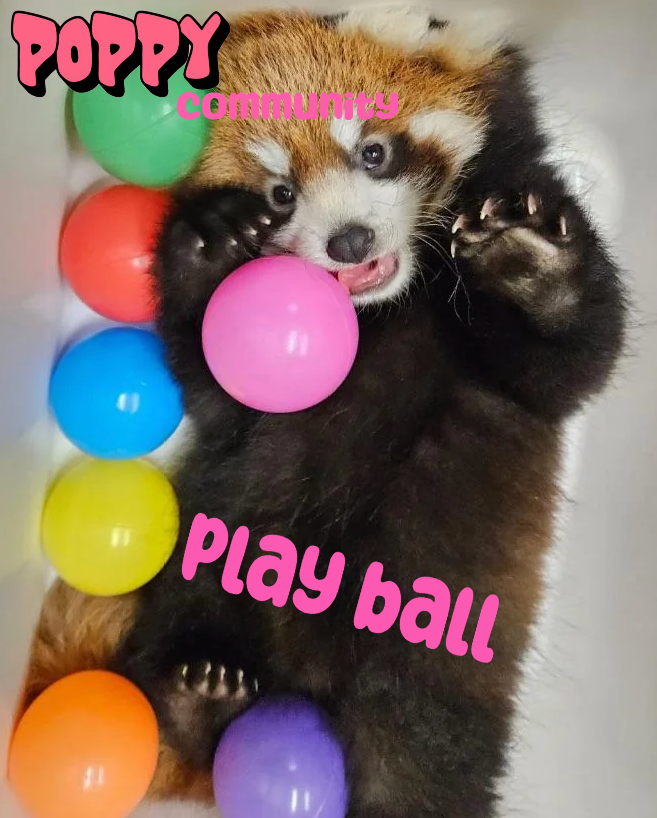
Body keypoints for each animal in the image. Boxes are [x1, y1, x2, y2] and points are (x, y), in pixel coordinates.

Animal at [24, 7, 626, 817]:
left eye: (374, 151)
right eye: (279, 194)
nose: (350, 241)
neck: (387, 309)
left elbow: (576, 359)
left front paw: (528, 259)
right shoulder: (237, 416)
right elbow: (211, 388)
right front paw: (210, 242)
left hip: (432, 676)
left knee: (422, 764)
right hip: (205, 572)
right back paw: (198, 696)